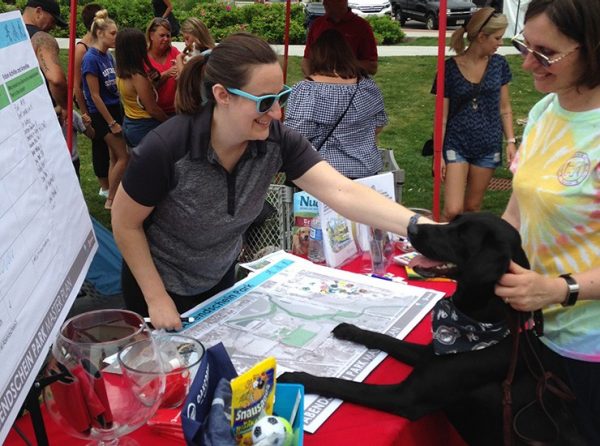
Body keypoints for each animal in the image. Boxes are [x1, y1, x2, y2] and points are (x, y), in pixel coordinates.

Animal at [282, 214, 584, 444]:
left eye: (461, 235)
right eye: (454, 220)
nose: (411, 228)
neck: (480, 326)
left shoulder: (406, 397)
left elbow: (342, 384)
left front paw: (297, 377)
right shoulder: (429, 354)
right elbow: (385, 338)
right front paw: (350, 330)